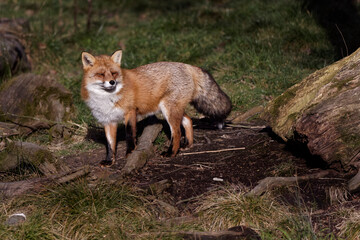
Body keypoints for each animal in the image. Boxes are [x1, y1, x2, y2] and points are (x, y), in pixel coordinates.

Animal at [81, 50, 231, 166]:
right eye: (101, 74)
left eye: (113, 73)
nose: (112, 82)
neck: (107, 98)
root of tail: (187, 65)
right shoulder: (108, 120)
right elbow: (110, 144)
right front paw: (109, 161)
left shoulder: (130, 112)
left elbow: (130, 134)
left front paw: (130, 152)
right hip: (173, 109)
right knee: (188, 120)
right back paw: (187, 144)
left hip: (168, 110)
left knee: (176, 132)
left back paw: (171, 153)